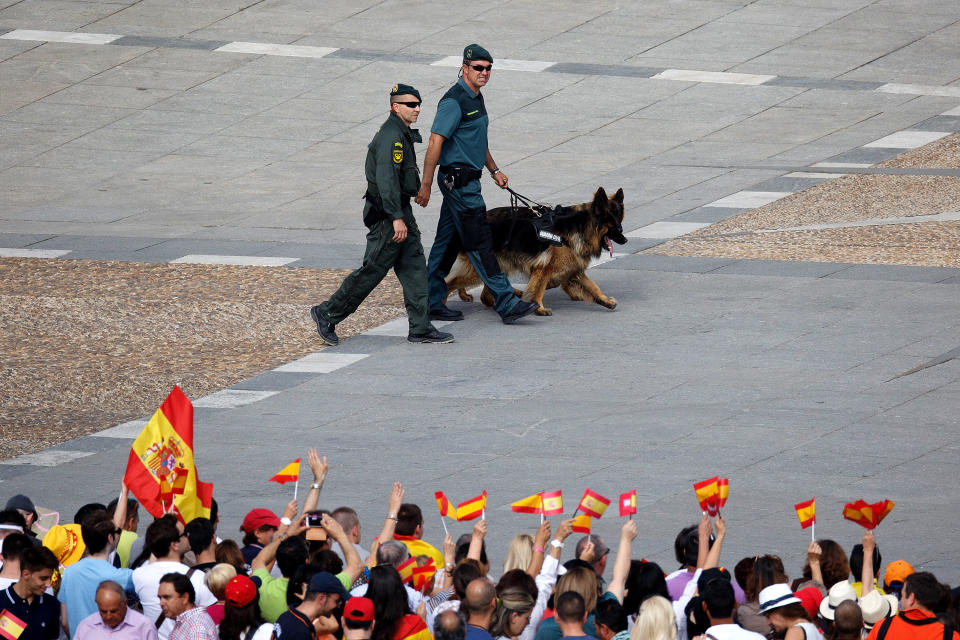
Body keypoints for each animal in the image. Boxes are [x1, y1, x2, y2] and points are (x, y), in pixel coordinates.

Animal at [446, 185, 628, 316]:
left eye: (620, 222)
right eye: (614, 225)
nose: (625, 240)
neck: (580, 228)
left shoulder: (573, 268)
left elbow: (592, 286)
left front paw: (605, 300)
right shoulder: (544, 269)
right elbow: (538, 289)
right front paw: (539, 308)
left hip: (498, 267)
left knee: (486, 295)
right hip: (479, 271)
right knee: (452, 283)